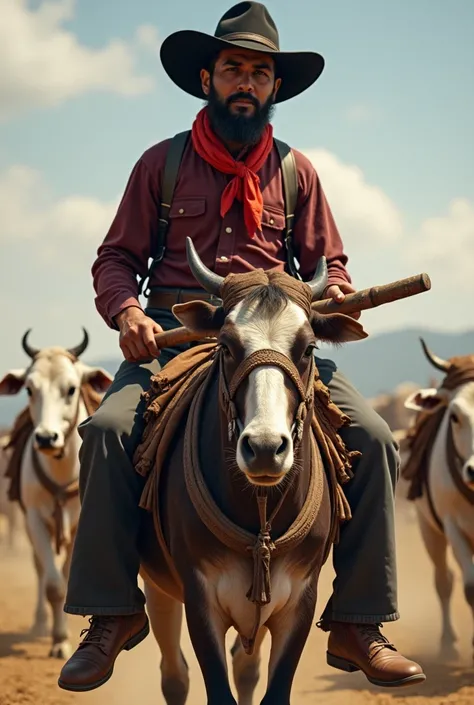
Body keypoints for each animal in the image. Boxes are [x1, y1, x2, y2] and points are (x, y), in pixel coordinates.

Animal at [0, 330, 113, 660]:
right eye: (29, 389)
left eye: (71, 389)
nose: (46, 438)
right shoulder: (34, 519)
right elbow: (52, 583)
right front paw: (57, 639)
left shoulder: (78, 523)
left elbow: (65, 578)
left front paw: (62, 638)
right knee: (39, 569)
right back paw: (40, 623)